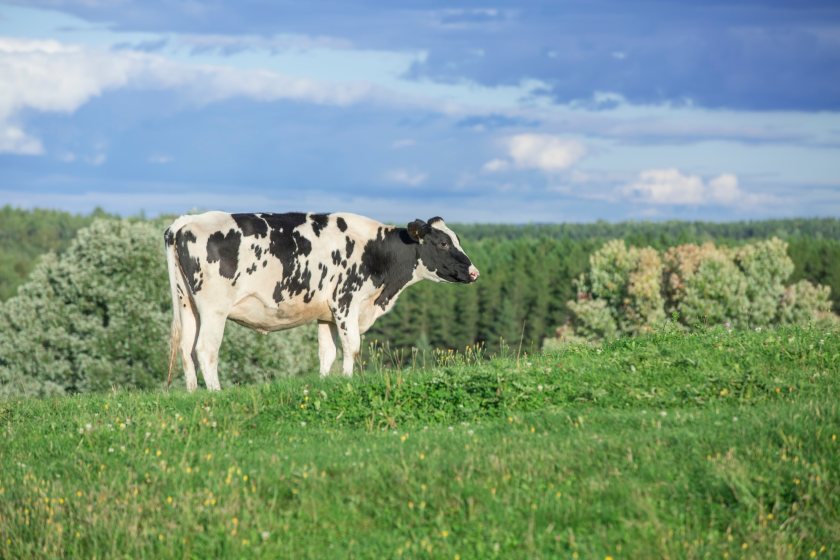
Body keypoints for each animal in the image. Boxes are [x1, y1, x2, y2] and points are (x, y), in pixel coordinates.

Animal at [164, 210, 480, 390]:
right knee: (205, 349)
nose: (474, 271)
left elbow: (327, 353)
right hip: (213, 309)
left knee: (186, 349)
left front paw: (326, 382)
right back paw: (215, 393)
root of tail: (186, 221)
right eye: (443, 243)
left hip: (187, 305)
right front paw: (349, 381)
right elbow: (352, 347)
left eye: (456, 239)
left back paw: (193, 393)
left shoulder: (326, 314)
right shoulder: (346, 302)